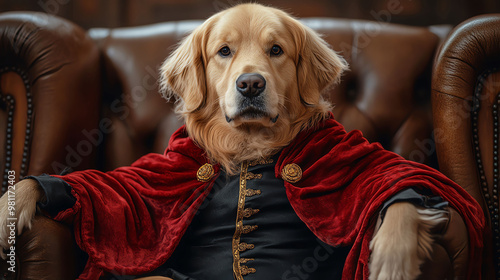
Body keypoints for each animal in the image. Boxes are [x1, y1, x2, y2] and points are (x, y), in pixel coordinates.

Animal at [0, 2, 448, 280]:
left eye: (276, 50)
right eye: (224, 51)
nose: (250, 84)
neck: (250, 149)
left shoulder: (349, 153)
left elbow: (403, 184)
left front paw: (393, 252)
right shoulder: (158, 175)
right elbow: (104, 187)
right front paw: (12, 206)